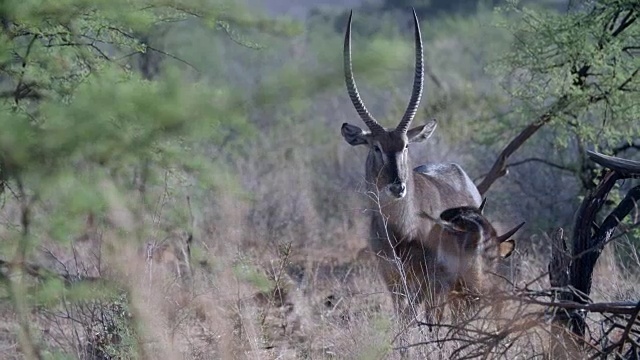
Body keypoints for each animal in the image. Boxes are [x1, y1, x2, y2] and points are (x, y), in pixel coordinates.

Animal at [340, 9, 480, 318]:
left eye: (405, 145)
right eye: (376, 146)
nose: (398, 187)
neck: (401, 229)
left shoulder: (430, 281)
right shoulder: (392, 280)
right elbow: (402, 321)